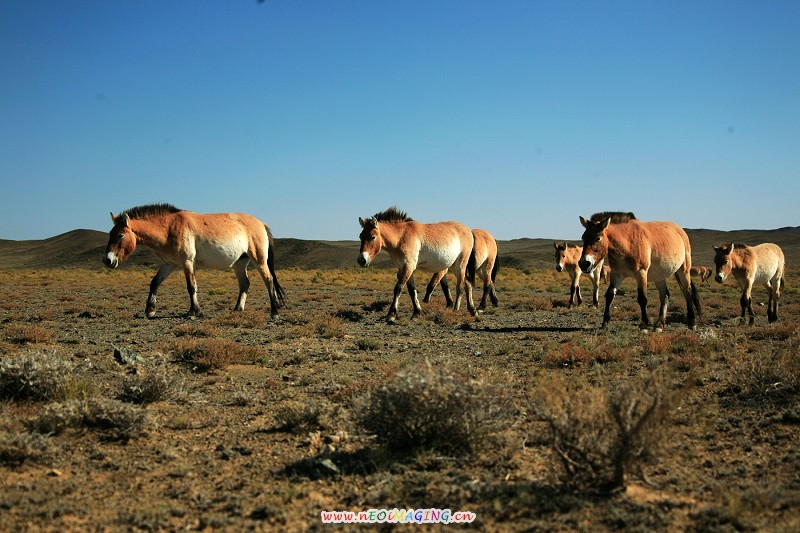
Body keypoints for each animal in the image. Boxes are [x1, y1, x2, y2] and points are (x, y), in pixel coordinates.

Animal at [104, 203, 286, 319]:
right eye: (110, 233)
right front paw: (150, 310)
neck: (169, 228)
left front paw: (193, 311)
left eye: (120, 235)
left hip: (259, 260)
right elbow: (154, 283)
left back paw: (275, 311)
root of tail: (261, 223)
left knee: (268, 280)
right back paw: (238, 309)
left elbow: (191, 286)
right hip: (240, 263)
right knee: (245, 284)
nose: (107, 260)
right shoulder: (169, 264)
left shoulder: (187, 262)